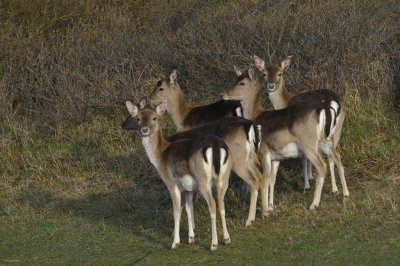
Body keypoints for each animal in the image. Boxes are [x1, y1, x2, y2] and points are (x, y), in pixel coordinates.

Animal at [124, 98, 231, 250]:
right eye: (138, 118)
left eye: (154, 118)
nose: (144, 129)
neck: (160, 156)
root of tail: (216, 146)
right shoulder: (188, 188)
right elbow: (188, 208)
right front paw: (191, 238)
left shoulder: (171, 183)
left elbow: (176, 211)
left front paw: (175, 242)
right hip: (224, 178)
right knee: (221, 203)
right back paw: (226, 239)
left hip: (203, 181)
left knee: (212, 204)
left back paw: (214, 244)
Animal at [222, 68, 340, 212]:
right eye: (236, 79)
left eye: (242, 83)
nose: (224, 94)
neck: (256, 116)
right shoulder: (276, 157)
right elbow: (272, 180)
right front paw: (271, 205)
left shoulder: (263, 153)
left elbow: (265, 180)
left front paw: (266, 209)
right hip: (327, 139)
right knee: (336, 156)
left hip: (309, 145)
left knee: (322, 166)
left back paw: (314, 204)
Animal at [255, 55, 348, 197]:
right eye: (264, 74)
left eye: (280, 73)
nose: (271, 85)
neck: (285, 101)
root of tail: (331, 102)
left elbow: (304, 158)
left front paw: (307, 183)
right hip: (337, 128)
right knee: (333, 154)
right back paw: (335, 189)